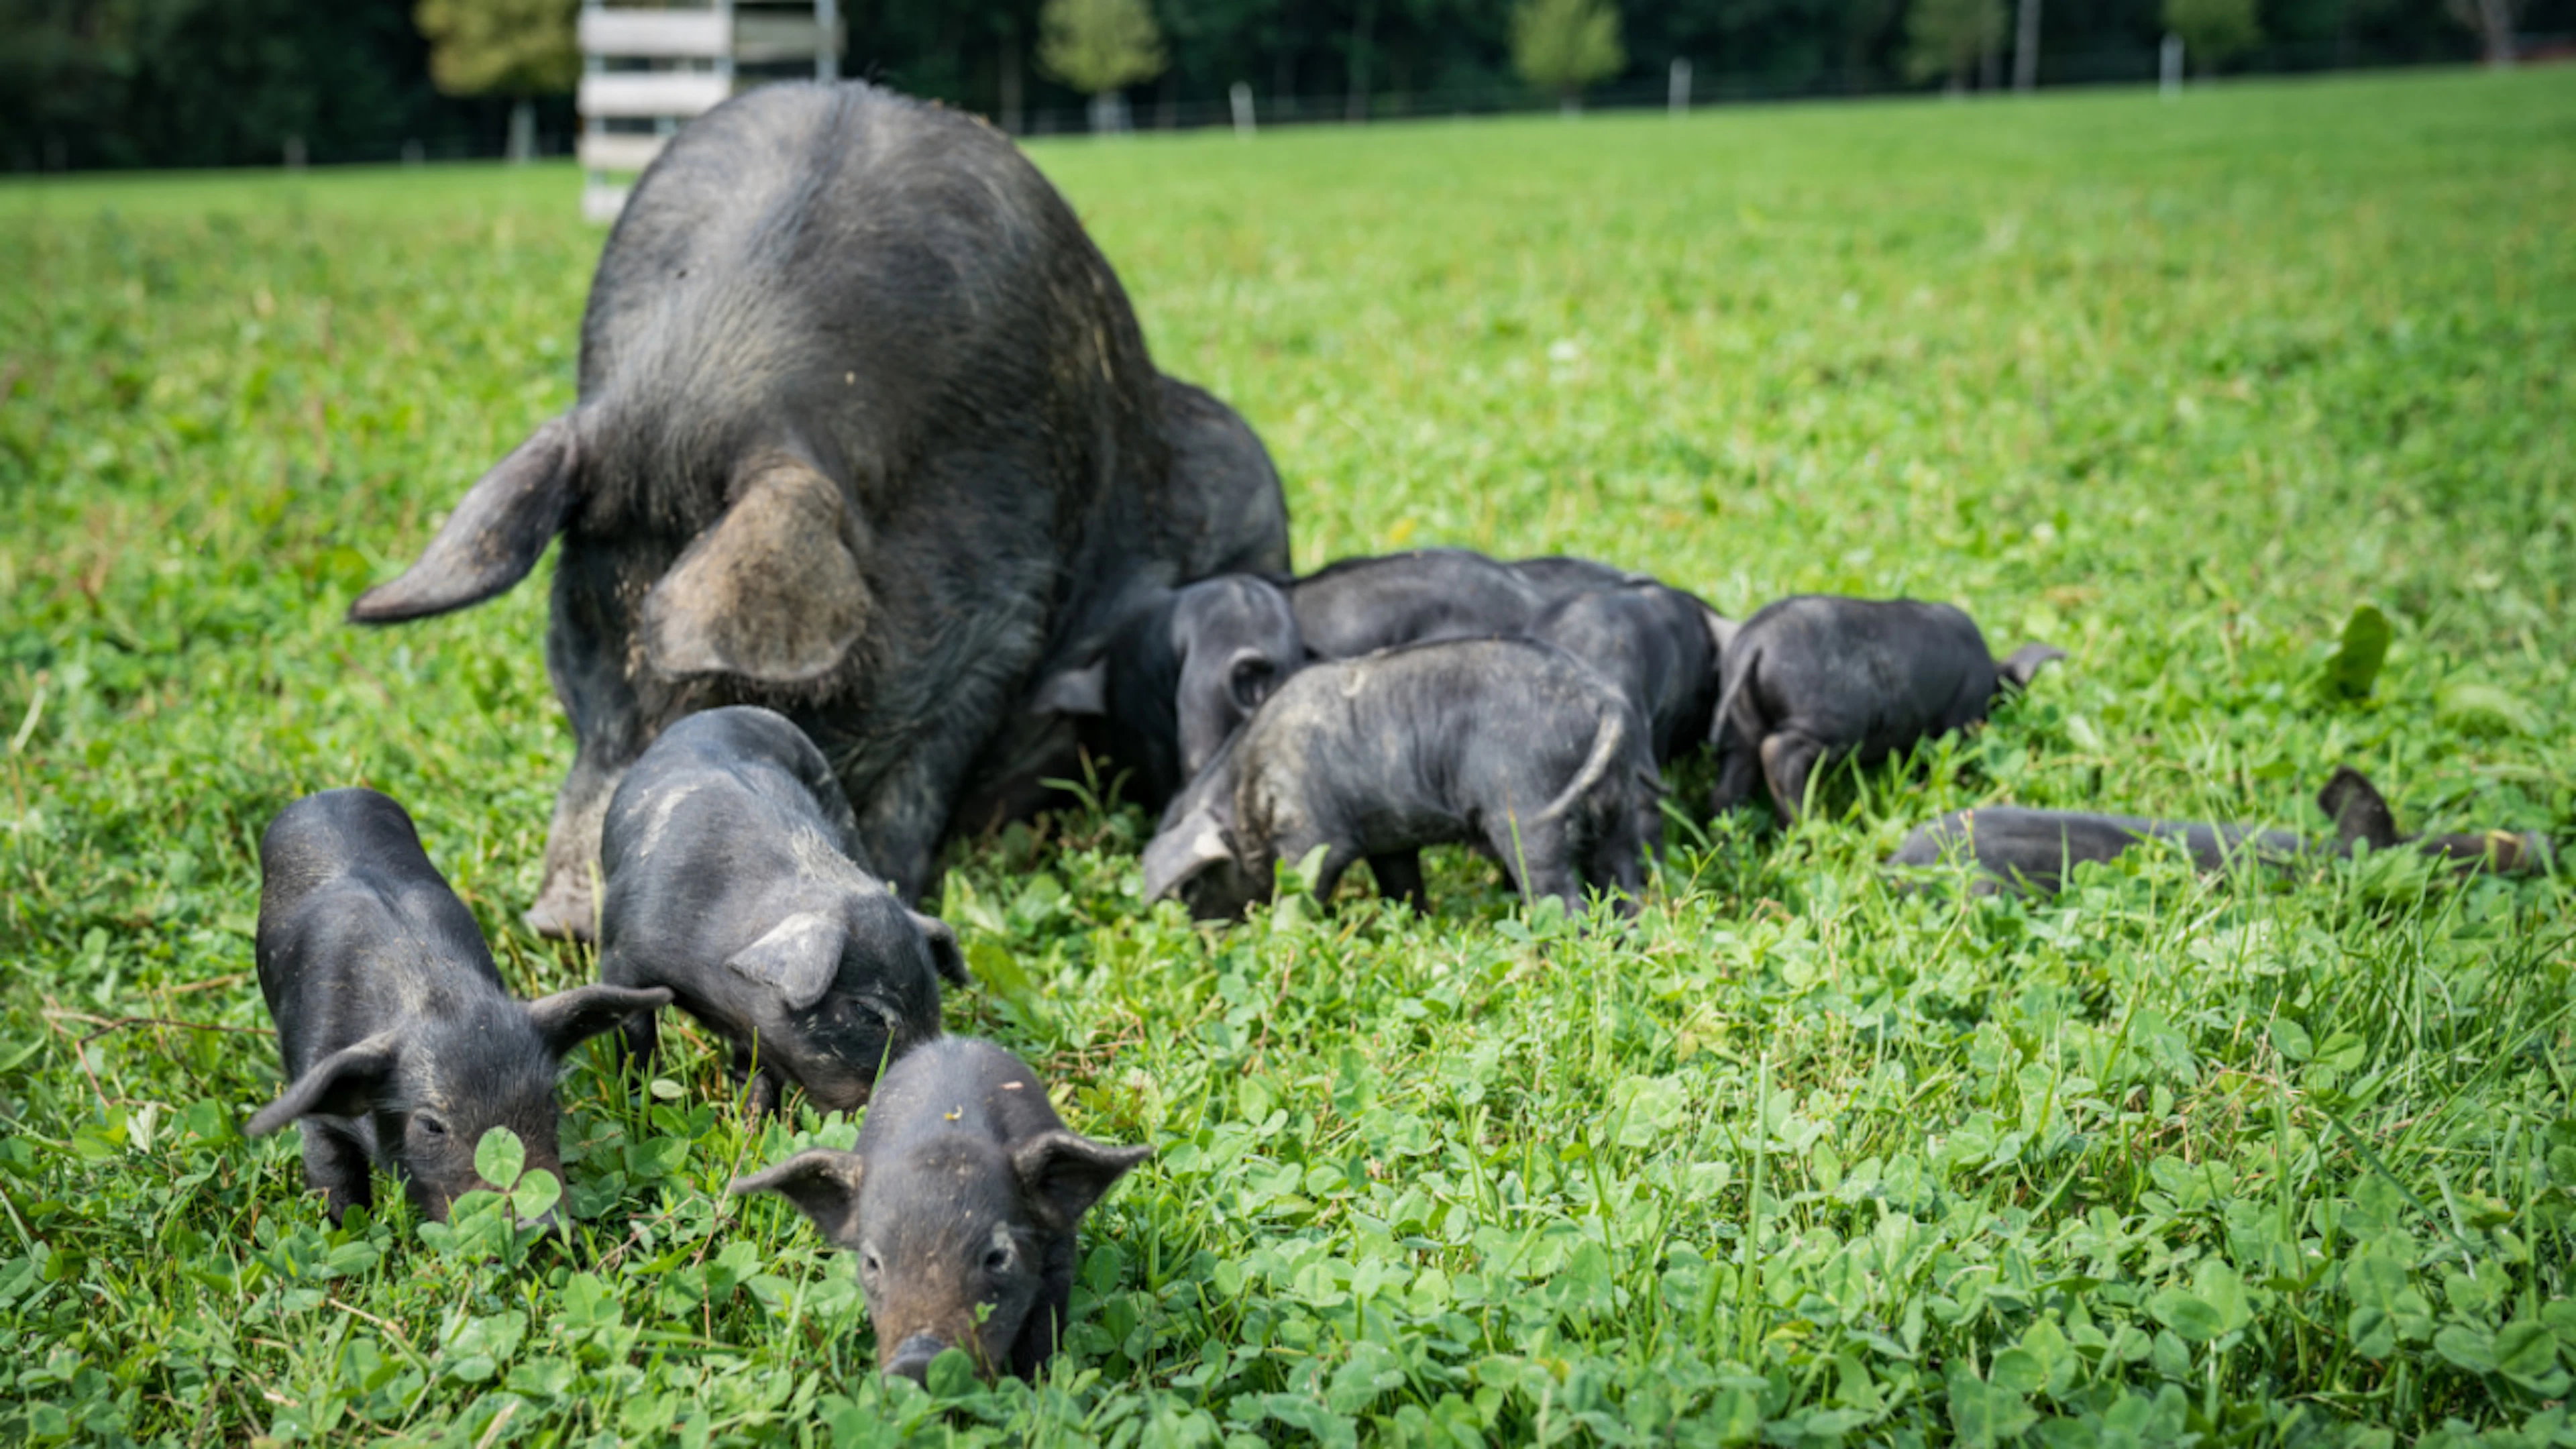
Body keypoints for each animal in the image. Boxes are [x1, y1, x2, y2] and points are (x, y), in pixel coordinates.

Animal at [246, 789, 669, 1224]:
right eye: (431, 1125)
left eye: (549, 1101)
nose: (544, 1224)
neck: (439, 997)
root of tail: (327, 794)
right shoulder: (316, 1100)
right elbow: (337, 1187)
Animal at [596, 706, 966, 1116]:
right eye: (869, 1012)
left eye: (935, 1003)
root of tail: (724, 710)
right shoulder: (619, 957)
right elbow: (635, 1043)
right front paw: (636, 1110)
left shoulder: (758, 1027)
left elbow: (758, 1078)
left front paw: (755, 1125)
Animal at [1141, 637, 1663, 918]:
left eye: (1193, 886)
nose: (1206, 935)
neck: (1246, 787)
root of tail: (1604, 702)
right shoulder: (1388, 839)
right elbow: (1401, 885)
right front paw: (1415, 922)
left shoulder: (1314, 837)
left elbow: (1302, 893)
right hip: (1616, 812)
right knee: (1624, 885)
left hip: (1530, 815)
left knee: (1562, 898)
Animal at [1708, 596, 2064, 824]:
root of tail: (1753, 644)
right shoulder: (1960, 721)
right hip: (1824, 721)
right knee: (1777, 752)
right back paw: (1809, 827)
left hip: (1743, 721)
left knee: (1735, 773)